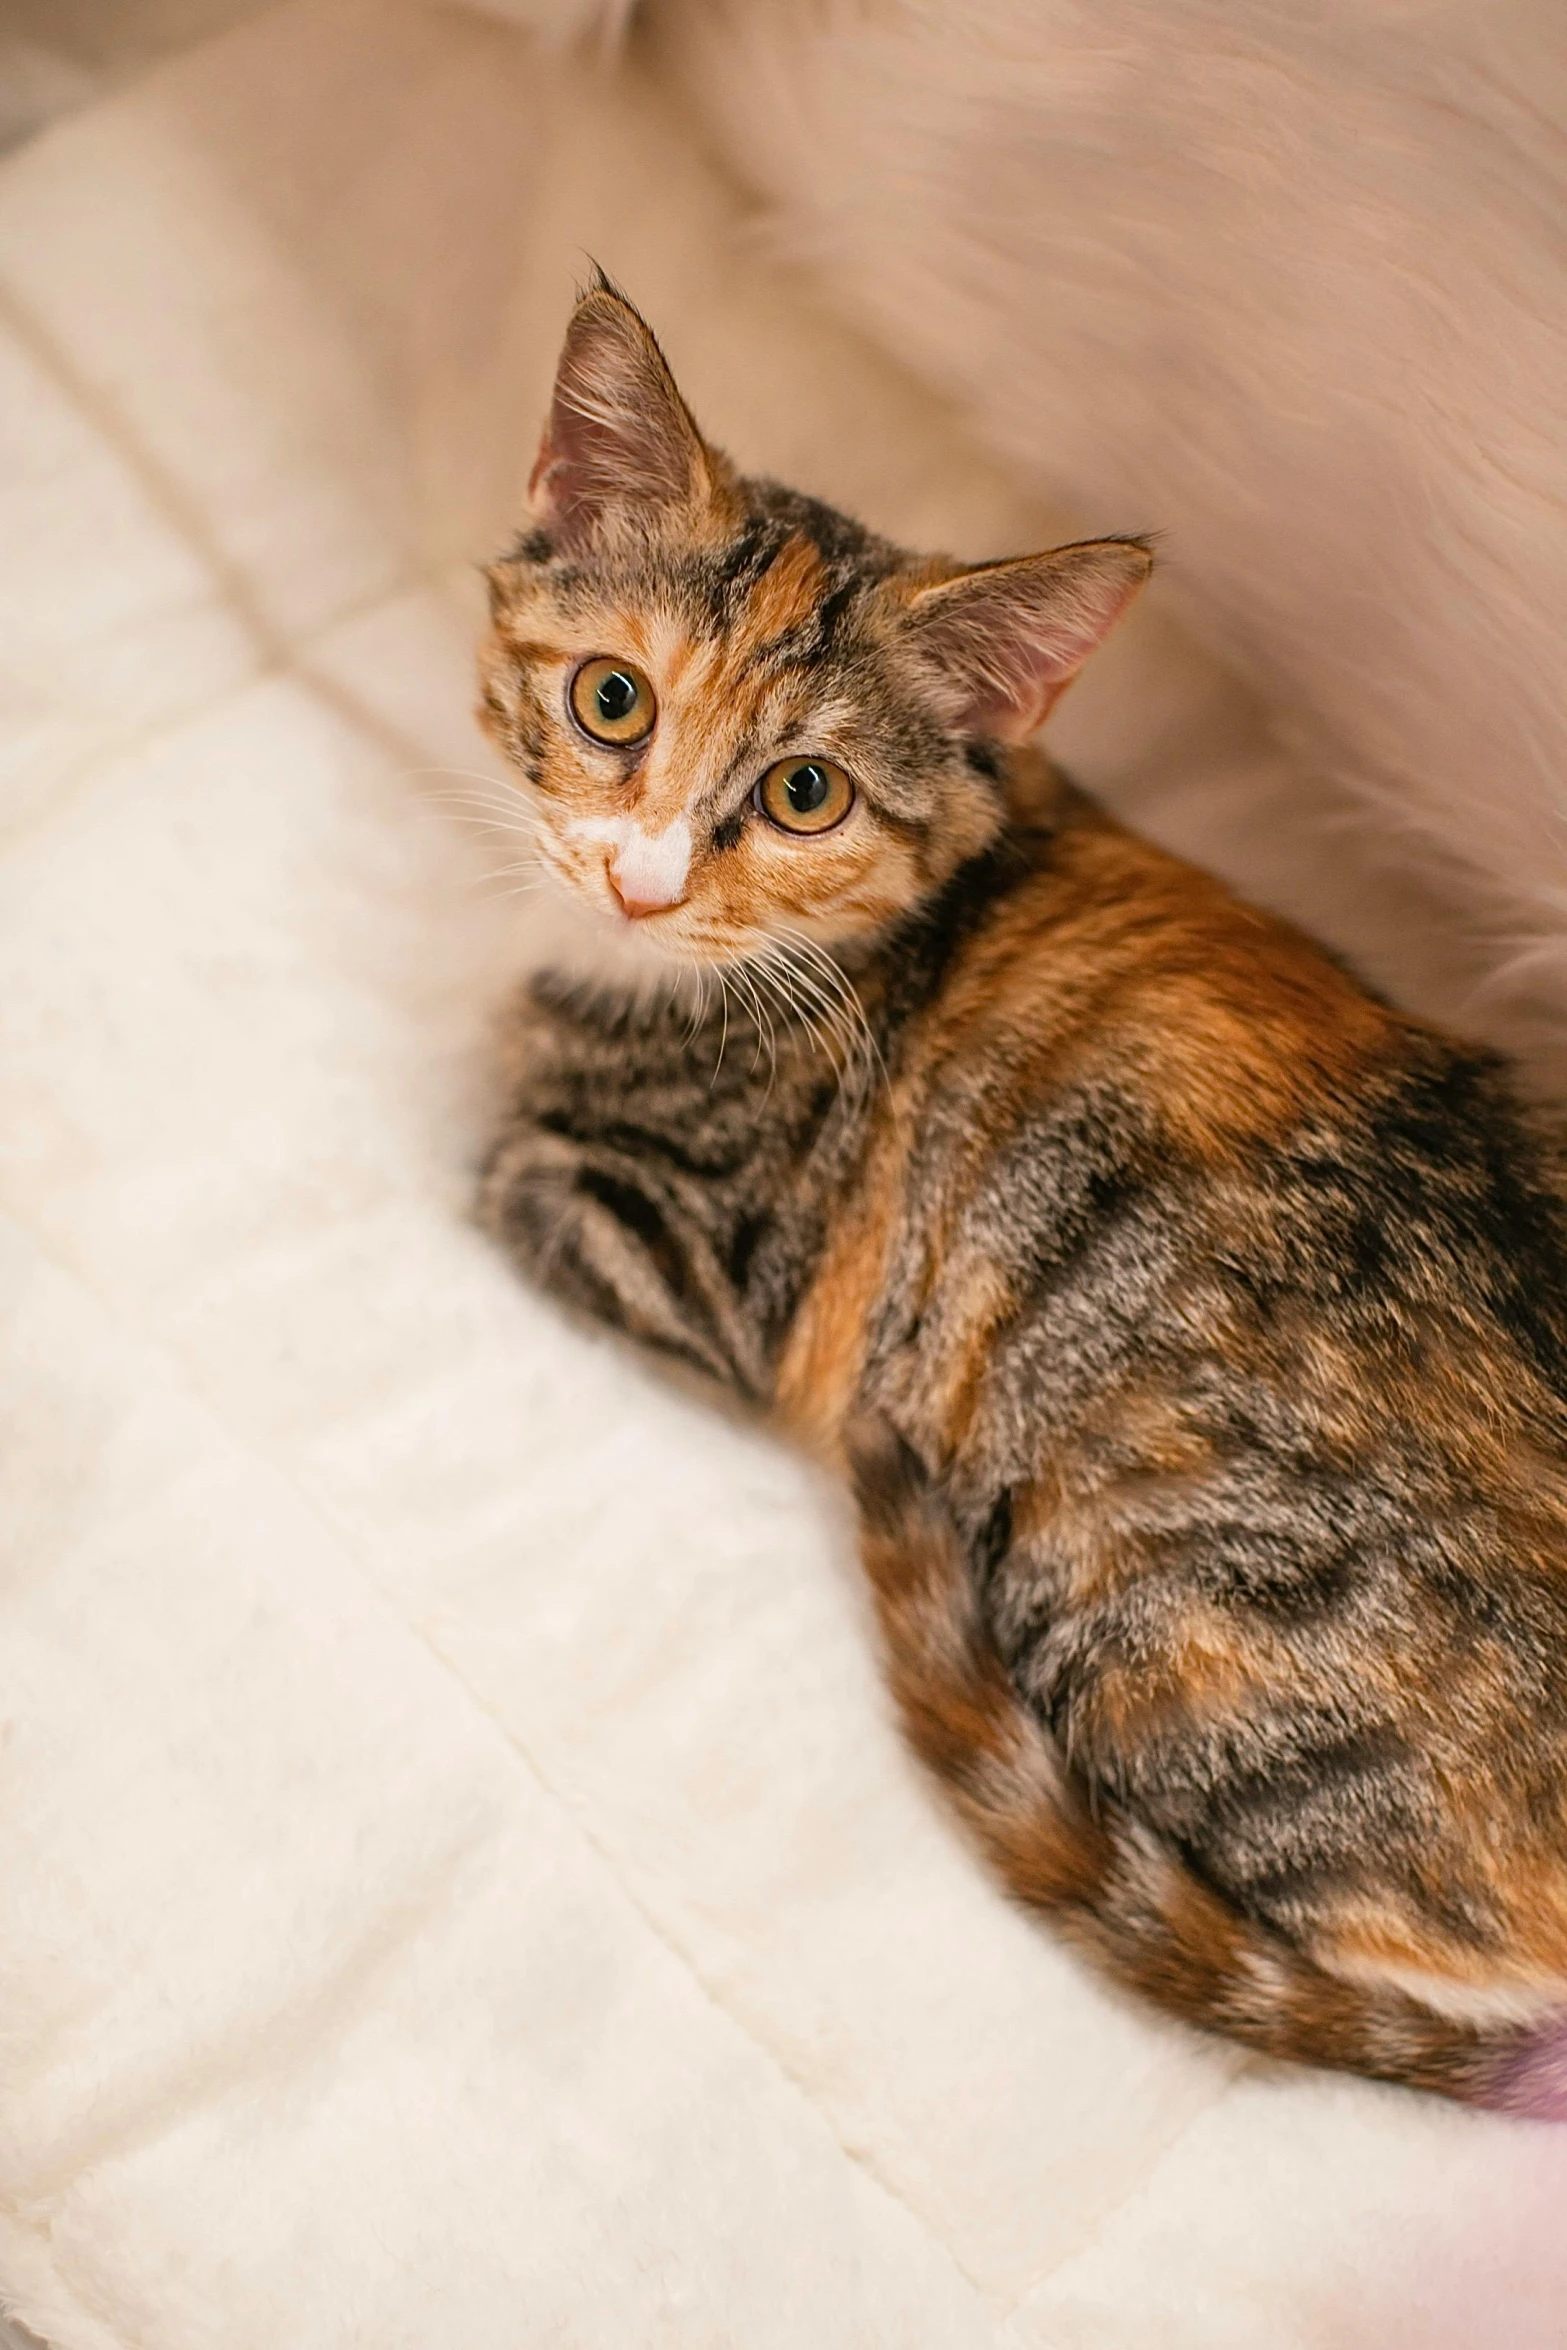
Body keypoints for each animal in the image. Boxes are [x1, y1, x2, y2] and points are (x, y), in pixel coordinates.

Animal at [472, 274, 1567, 2115]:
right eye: (612, 702)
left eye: (805, 793)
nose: (642, 878)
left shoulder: (719, 1263)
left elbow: (500, 1152)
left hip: (1146, 1593)